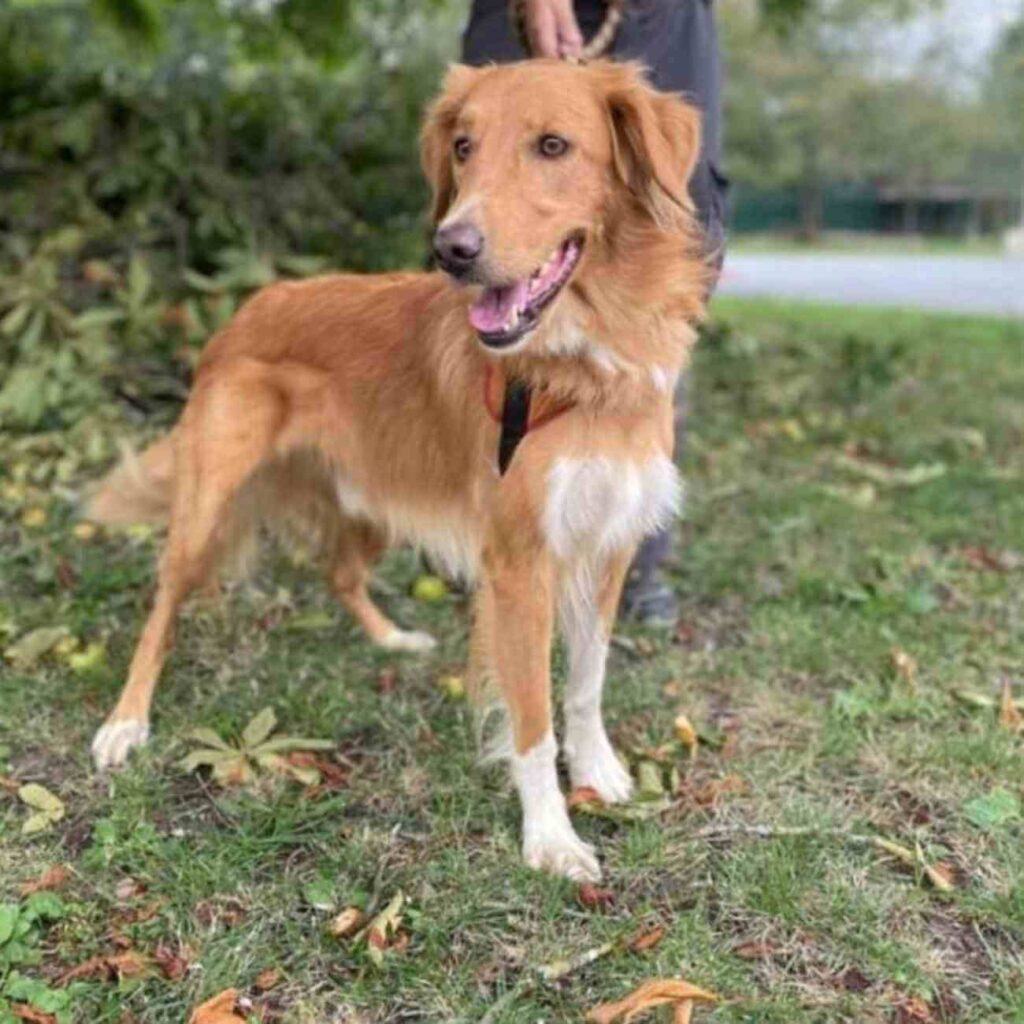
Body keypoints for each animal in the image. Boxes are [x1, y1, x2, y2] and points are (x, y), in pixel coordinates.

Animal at [88, 59, 708, 880]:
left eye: (553, 145)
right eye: (464, 147)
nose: (452, 248)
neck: (586, 364)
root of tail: (249, 306)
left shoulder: (608, 541)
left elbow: (585, 681)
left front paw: (598, 771)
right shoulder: (519, 565)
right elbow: (531, 717)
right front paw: (549, 836)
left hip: (376, 497)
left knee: (340, 572)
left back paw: (391, 640)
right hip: (207, 507)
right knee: (161, 609)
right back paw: (125, 723)